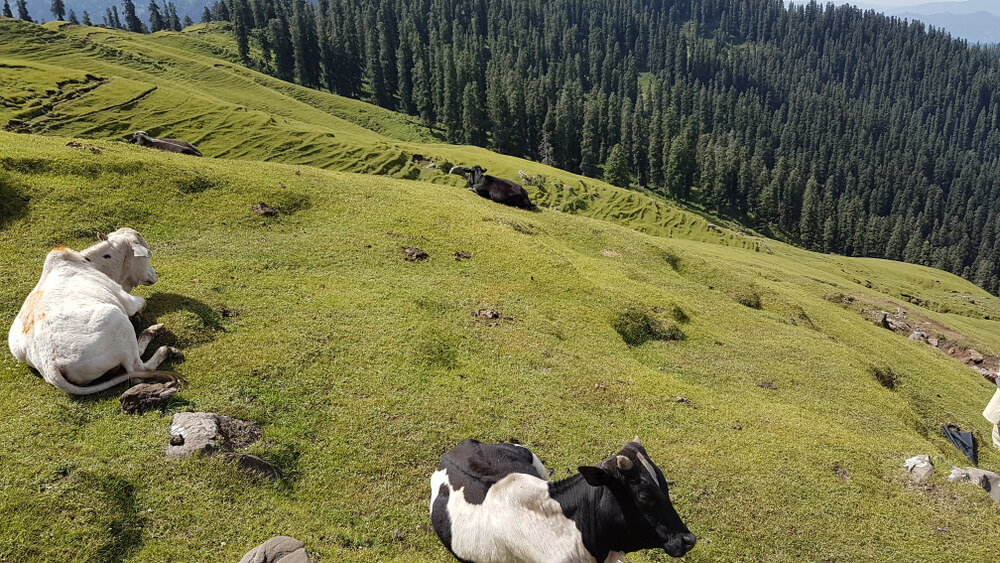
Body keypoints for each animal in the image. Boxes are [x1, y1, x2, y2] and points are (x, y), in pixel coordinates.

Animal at [7, 227, 184, 394]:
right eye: (147, 256)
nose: (155, 275)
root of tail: (48, 365)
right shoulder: (127, 300)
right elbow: (143, 303)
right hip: (117, 318)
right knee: (137, 369)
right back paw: (162, 344)